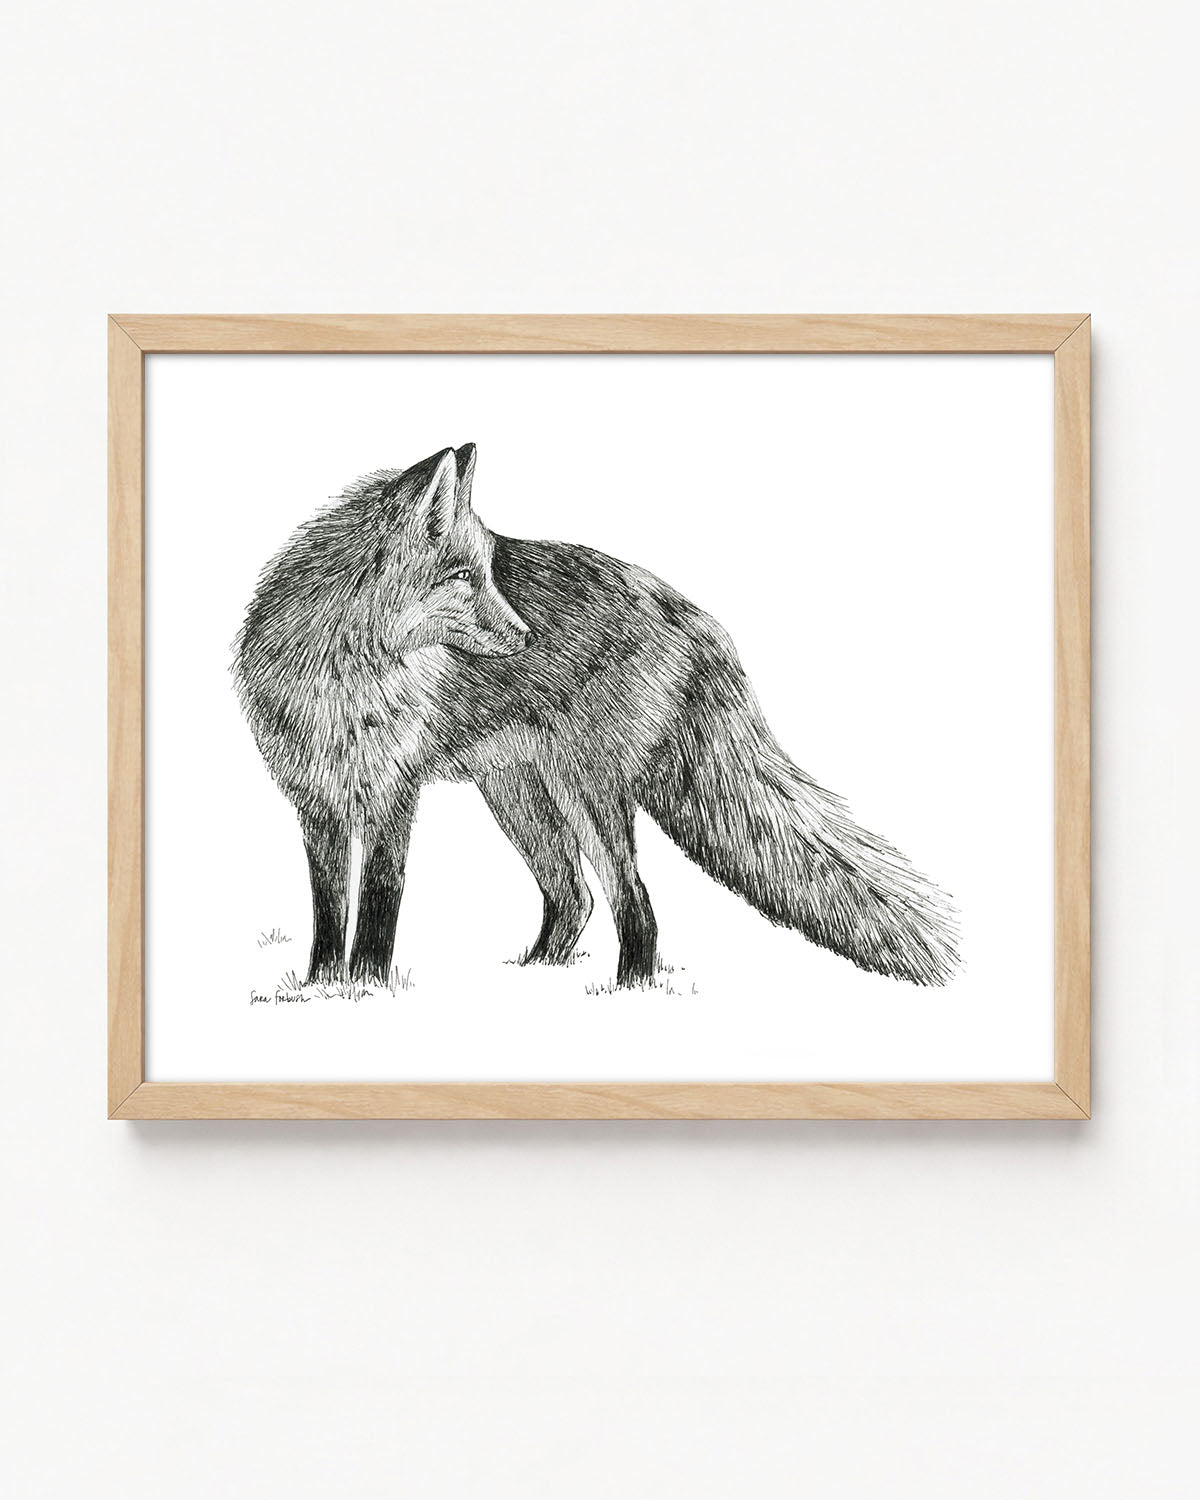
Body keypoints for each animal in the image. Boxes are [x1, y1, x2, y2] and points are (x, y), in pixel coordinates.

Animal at [234, 444, 959, 989]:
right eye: (466, 577)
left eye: (490, 572)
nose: (526, 636)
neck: (342, 679)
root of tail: (694, 614)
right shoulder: (317, 804)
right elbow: (330, 913)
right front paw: (325, 987)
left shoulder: (394, 797)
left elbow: (380, 904)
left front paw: (366, 987)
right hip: (520, 797)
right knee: (574, 897)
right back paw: (533, 979)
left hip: (587, 793)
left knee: (633, 902)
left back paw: (624, 990)